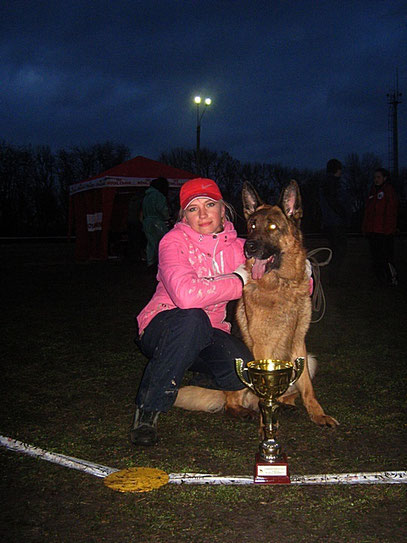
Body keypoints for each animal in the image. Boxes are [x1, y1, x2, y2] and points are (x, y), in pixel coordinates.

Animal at [175, 183, 338, 430]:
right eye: (252, 226)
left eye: (272, 226)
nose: (249, 248)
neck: (281, 285)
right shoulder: (262, 348)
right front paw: (265, 426)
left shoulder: (299, 344)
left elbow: (308, 388)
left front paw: (318, 414)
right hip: (239, 367)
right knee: (231, 402)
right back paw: (245, 411)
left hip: (309, 360)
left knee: (289, 392)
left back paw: (285, 405)